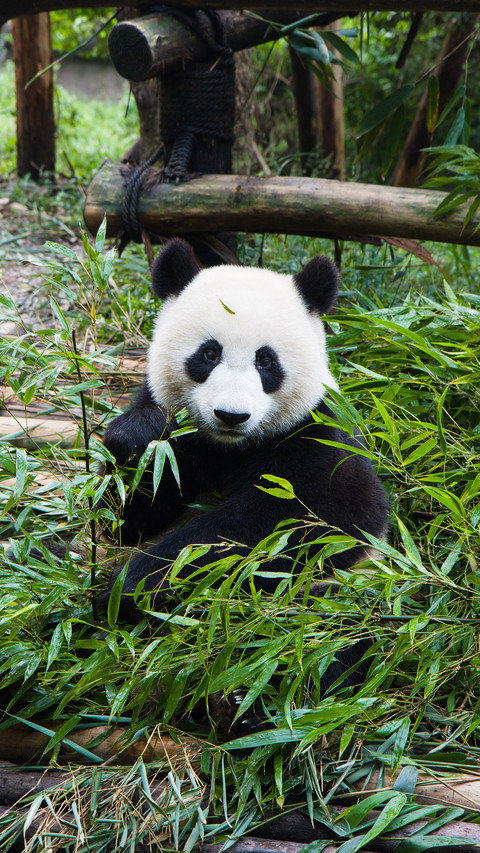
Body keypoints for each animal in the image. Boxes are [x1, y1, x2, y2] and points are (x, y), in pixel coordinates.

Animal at [102, 238, 388, 624]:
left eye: (266, 361)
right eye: (209, 354)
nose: (231, 415)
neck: (230, 446)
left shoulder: (314, 430)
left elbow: (304, 520)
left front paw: (137, 583)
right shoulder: (182, 434)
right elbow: (127, 518)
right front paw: (140, 435)